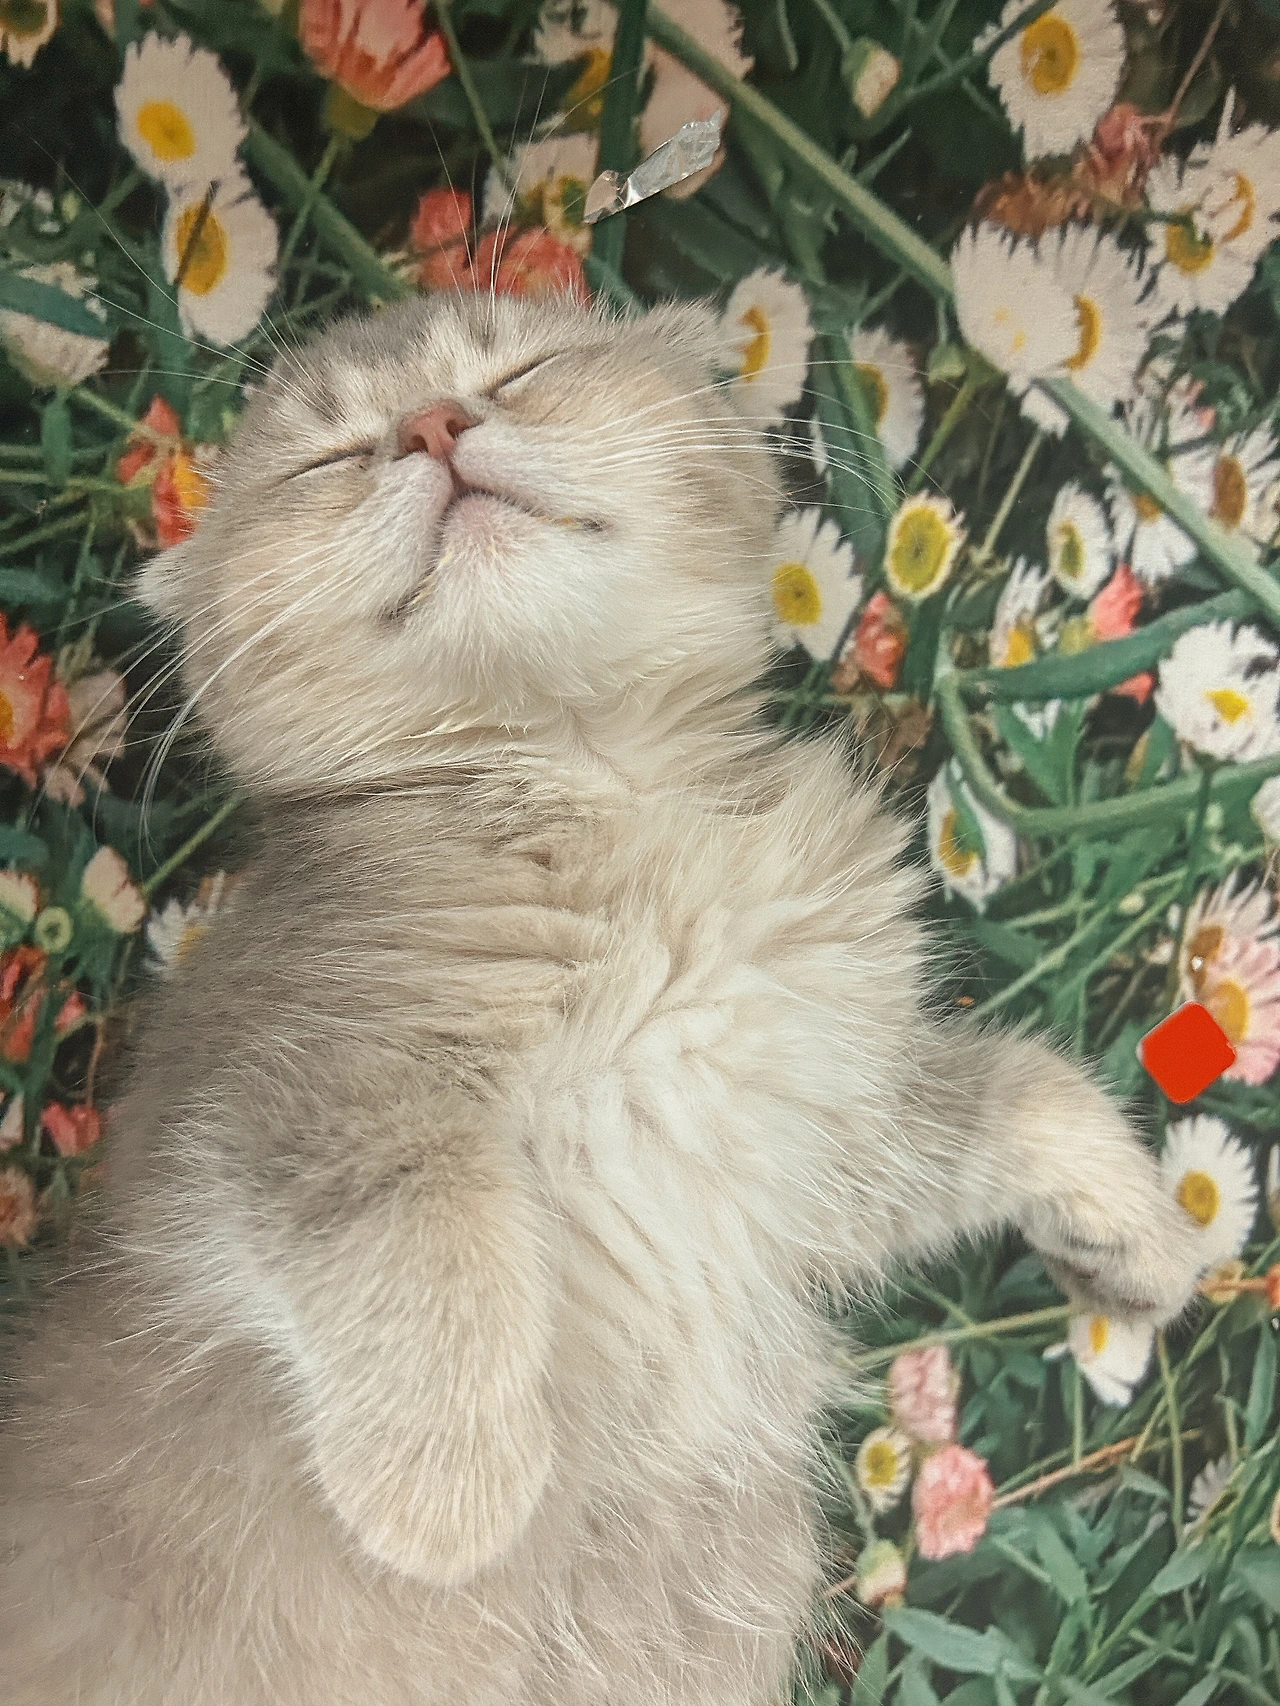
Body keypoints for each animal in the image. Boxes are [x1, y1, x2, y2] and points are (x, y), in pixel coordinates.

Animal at [0, 291, 1204, 1705]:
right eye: (325, 455)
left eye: (522, 369)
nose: (431, 422)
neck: (607, 792)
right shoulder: (278, 1091)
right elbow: (425, 1229)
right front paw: (445, 1493)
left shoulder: (815, 1119)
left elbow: (1021, 1081)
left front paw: (1134, 1229)